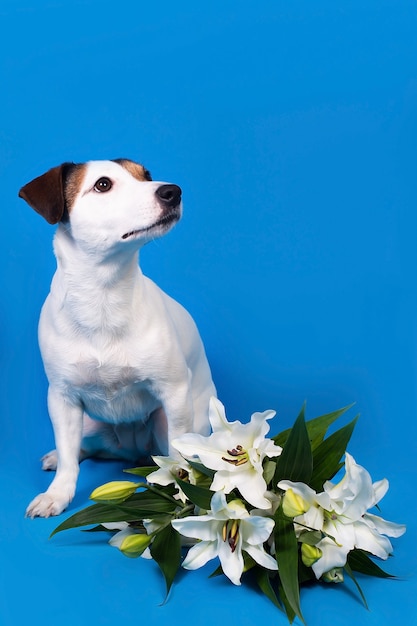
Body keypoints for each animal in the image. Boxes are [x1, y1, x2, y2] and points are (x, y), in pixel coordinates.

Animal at [18, 157, 216, 516]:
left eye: (146, 175)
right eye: (102, 185)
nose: (173, 191)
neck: (103, 295)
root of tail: (132, 450)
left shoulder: (174, 393)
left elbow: (177, 458)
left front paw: (181, 495)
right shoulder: (62, 399)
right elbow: (68, 457)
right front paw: (58, 494)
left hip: (167, 421)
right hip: (88, 423)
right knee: (80, 448)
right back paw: (58, 457)